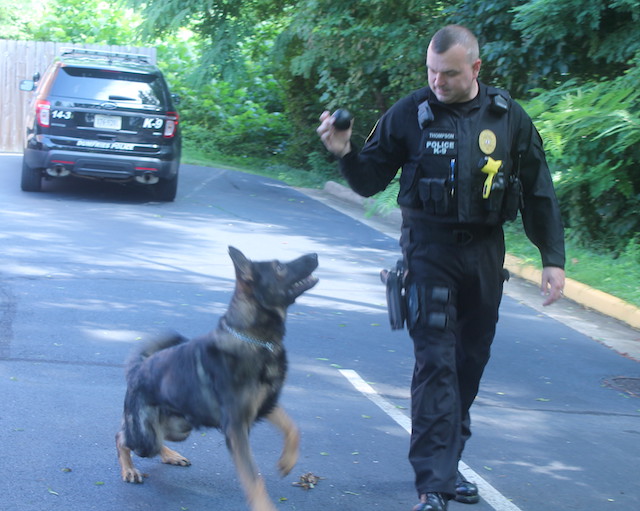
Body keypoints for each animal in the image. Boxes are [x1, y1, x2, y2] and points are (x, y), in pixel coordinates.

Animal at [115, 246, 320, 510]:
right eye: (279, 267)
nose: (315, 255)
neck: (254, 338)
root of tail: (137, 368)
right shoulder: (237, 428)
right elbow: (254, 479)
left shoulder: (265, 406)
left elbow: (293, 428)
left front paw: (287, 461)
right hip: (145, 438)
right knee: (121, 437)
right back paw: (129, 470)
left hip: (180, 429)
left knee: (156, 439)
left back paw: (172, 456)